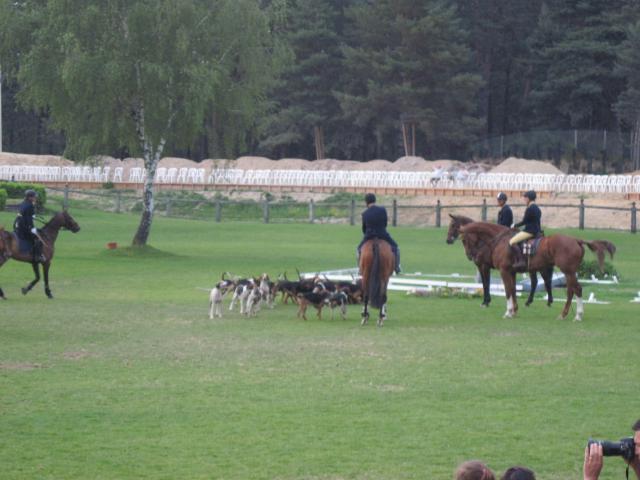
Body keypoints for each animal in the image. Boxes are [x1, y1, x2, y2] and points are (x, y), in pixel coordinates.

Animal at [460, 222, 616, 320]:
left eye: (464, 240)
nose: (470, 256)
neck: (501, 240)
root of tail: (576, 240)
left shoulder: (504, 271)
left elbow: (508, 291)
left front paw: (508, 312)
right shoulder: (511, 272)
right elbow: (512, 290)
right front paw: (513, 312)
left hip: (568, 271)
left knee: (576, 289)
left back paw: (576, 315)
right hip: (569, 272)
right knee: (572, 290)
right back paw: (566, 314)